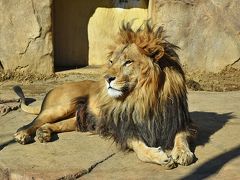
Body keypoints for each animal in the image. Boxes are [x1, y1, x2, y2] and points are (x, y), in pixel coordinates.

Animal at [13, 21, 196, 169]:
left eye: (128, 62)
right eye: (111, 61)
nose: (107, 78)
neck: (145, 98)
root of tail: (55, 87)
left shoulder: (179, 120)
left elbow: (181, 136)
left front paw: (183, 153)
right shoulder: (125, 128)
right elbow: (140, 150)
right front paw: (161, 157)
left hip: (79, 119)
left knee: (54, 124)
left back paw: (43, 133)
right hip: (62, 106)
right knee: (35, 121)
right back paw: (23, 134)